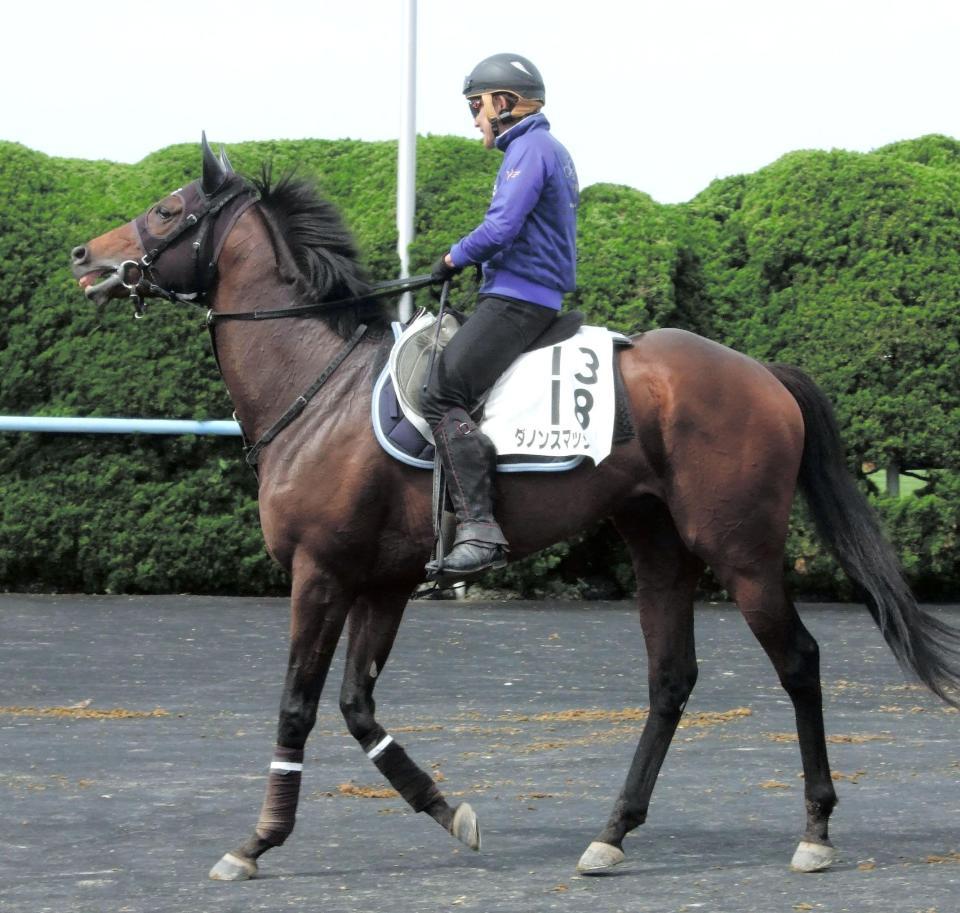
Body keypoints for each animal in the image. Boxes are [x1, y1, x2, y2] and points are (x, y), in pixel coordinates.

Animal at [69, 139, 960, 880]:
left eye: (169, 209)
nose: (86, 256)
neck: (319, 388)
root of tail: (763, 373)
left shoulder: (320, 575)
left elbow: (299, 703)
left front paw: (257, 841)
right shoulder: (381, 583)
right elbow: (358, 708)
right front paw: (447, 809)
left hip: (740, 551)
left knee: (799, 662)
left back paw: (815, 829)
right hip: (658, 546)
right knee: (671, 678)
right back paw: (612, 832)